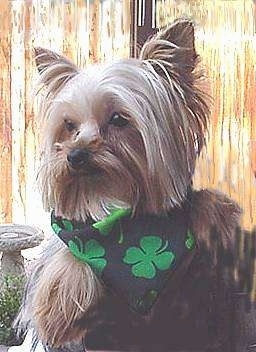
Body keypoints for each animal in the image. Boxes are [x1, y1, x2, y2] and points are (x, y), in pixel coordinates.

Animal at [16, 20, 256, 352]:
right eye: (69, 125)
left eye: (119, 119)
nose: (75, 155)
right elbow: (69, 253)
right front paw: (59, 306)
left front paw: (214, 217)